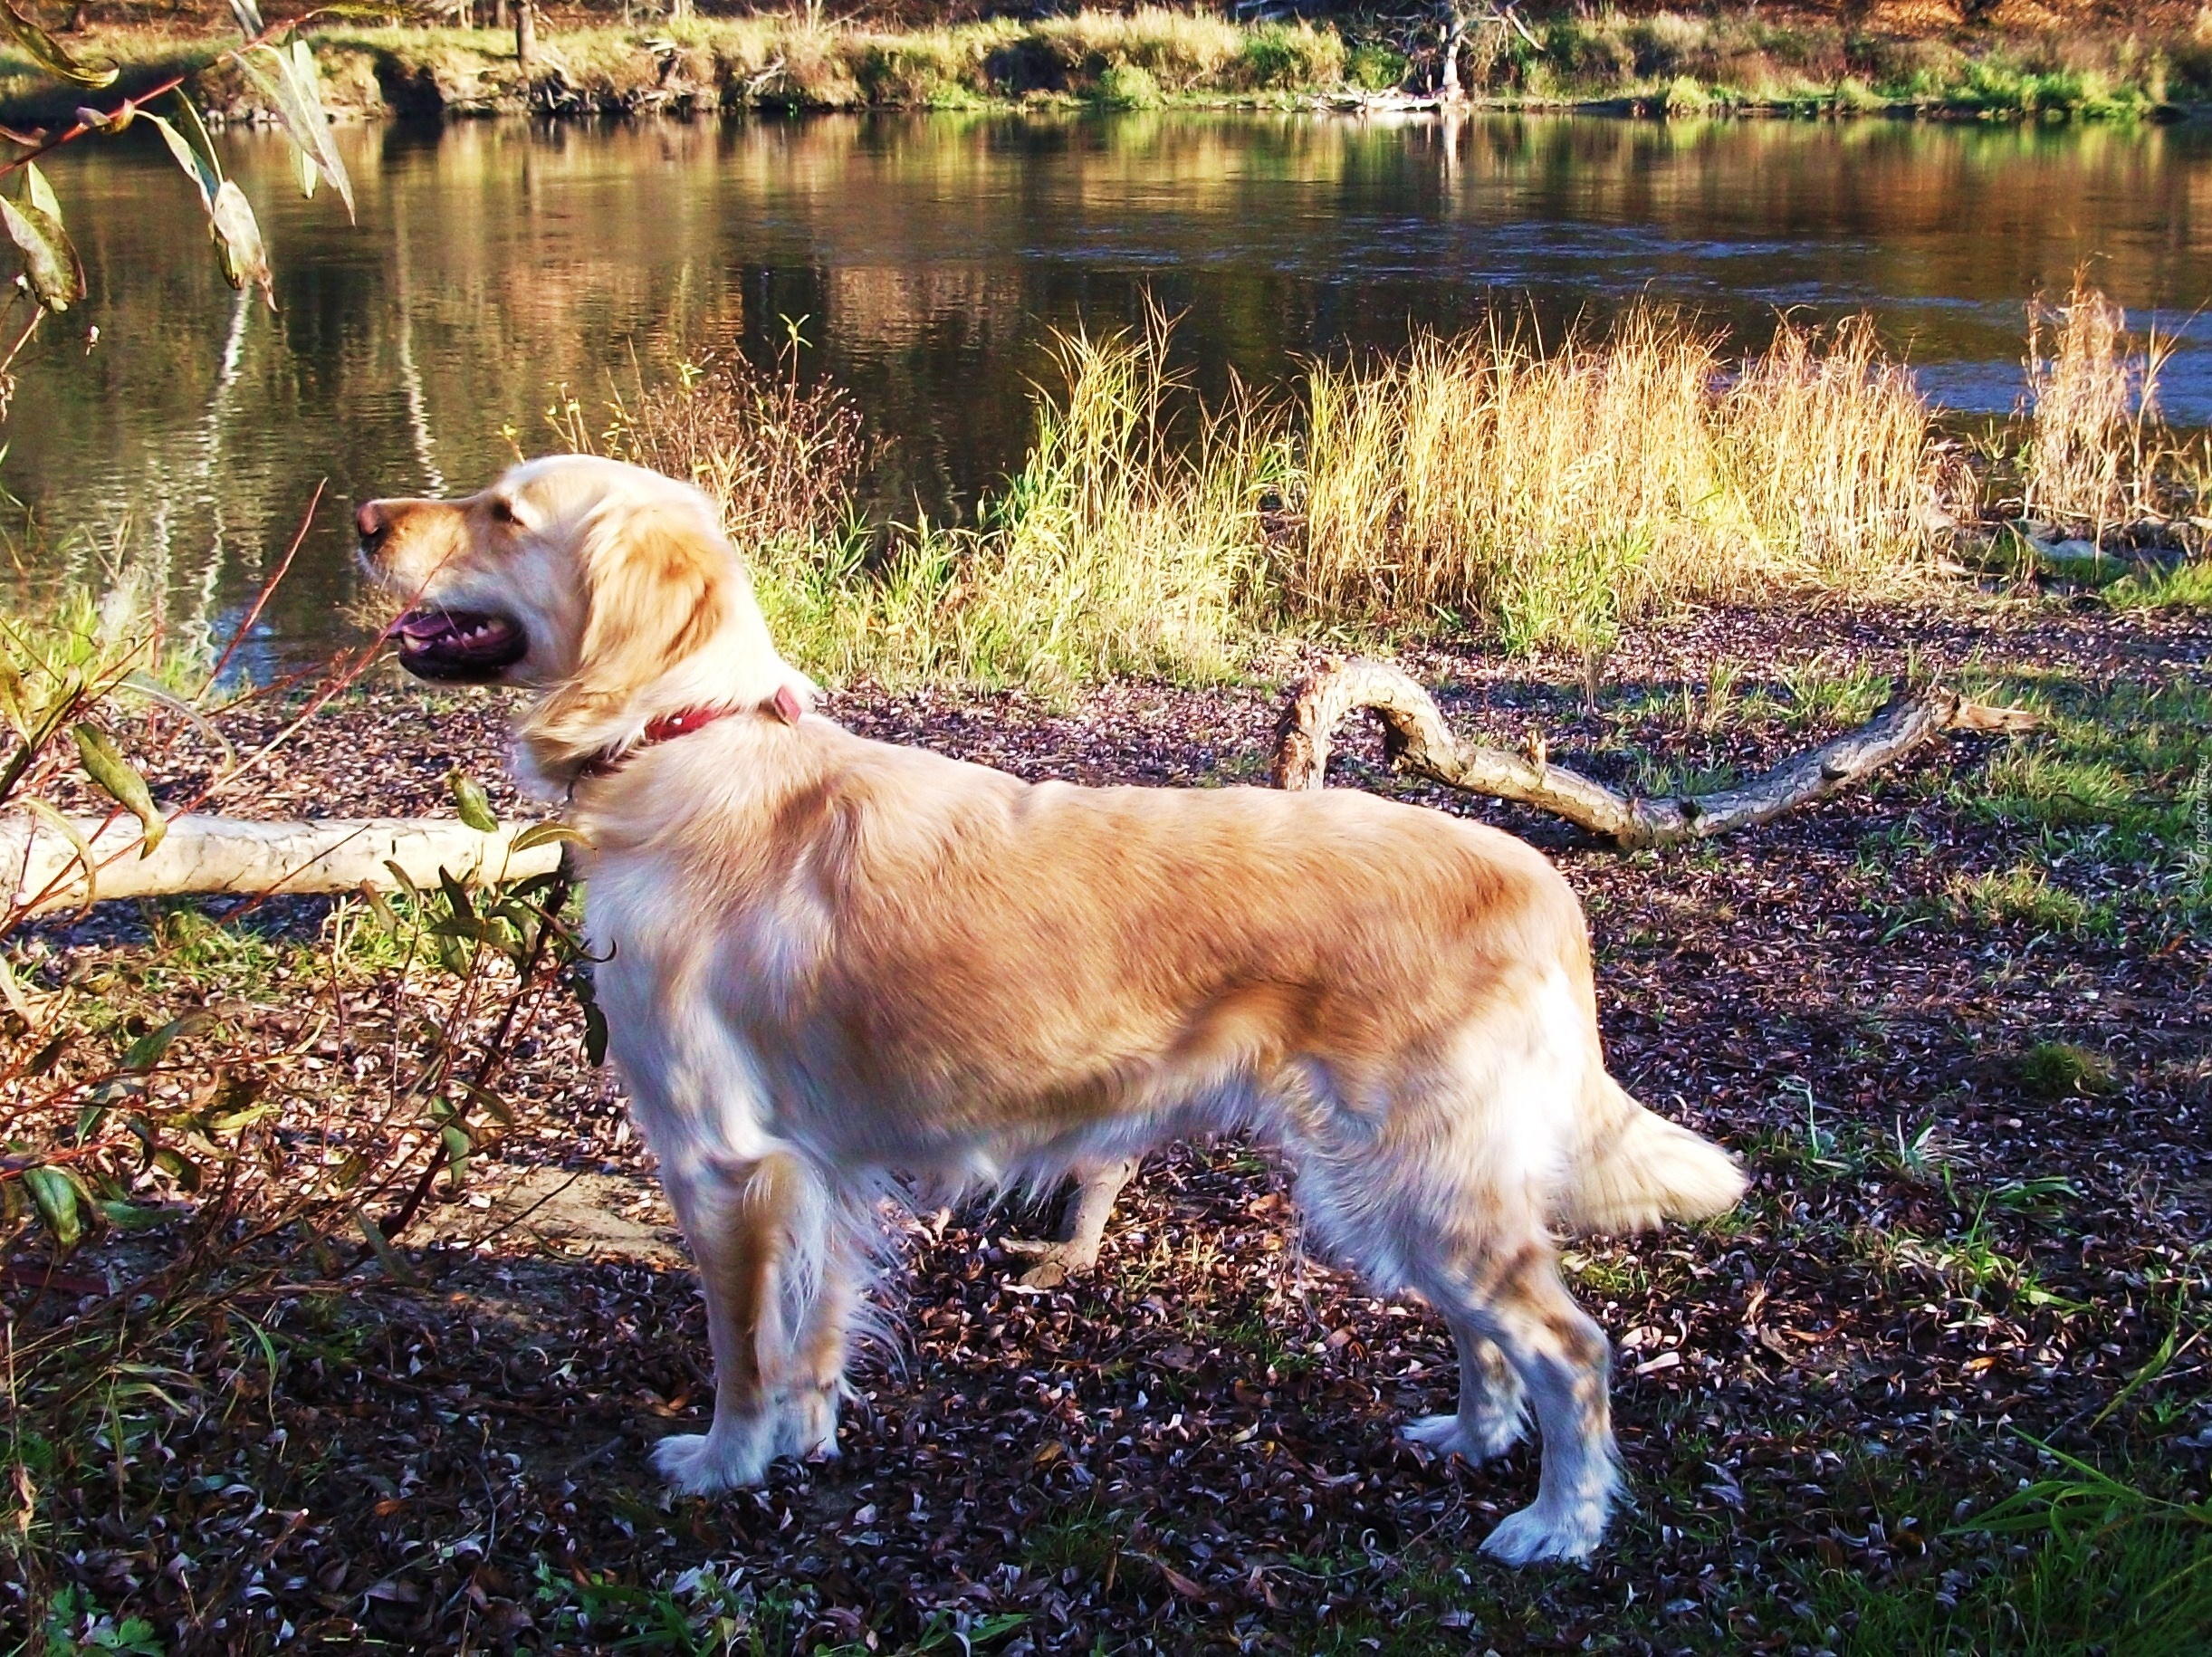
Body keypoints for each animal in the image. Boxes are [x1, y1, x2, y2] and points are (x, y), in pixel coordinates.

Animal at [362, 455, 1743, 1566]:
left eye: (504, 512)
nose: (368, 518)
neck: (689, 743)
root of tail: (1534, 874)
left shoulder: (719, 1160)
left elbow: (740, 1347)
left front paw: (725, 1461)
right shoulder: (814, 1166)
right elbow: (811, 1329)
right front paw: (805, 1439)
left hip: (1420, 1176)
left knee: (1572, 1347)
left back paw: (1557, 1522)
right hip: (1397, 1185)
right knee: (1492, 1335)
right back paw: (1469, 1432)